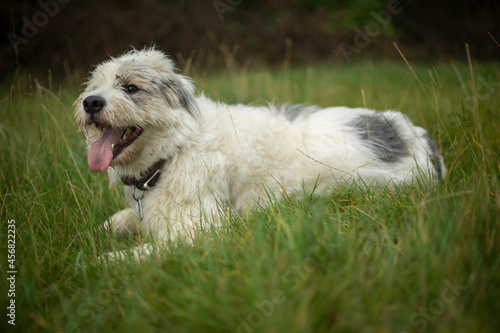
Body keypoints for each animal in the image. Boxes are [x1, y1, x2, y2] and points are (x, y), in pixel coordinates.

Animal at [73, 47, 446, 260]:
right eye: (94, 86)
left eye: (130, 87)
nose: (90, 103)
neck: (177, 149)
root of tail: (414, 135)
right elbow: (113, 222)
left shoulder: (204, 230)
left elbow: (133, 255)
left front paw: (98, 264)